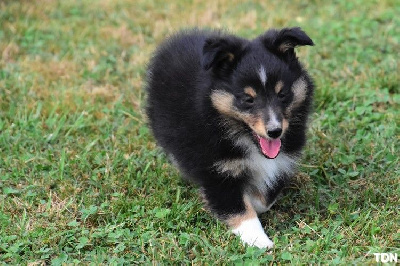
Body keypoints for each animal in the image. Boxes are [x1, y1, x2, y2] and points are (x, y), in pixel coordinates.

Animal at [145, 28, 314, 248]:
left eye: (282, 94)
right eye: (248, 99)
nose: (275, 131)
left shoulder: (282, 162)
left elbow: (265, 200)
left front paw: (253, 198)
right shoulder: (217, 170)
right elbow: (239, 209)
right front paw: (260, 242)